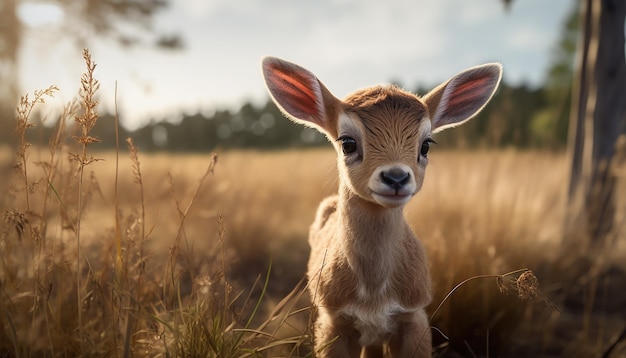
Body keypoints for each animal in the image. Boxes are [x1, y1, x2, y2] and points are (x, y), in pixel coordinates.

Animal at [260, 57, 500, 356]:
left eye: (426, 145)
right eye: (347, 142)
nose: (396, 177)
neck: (373, 296)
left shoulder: (414, 315)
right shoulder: (333, 321)